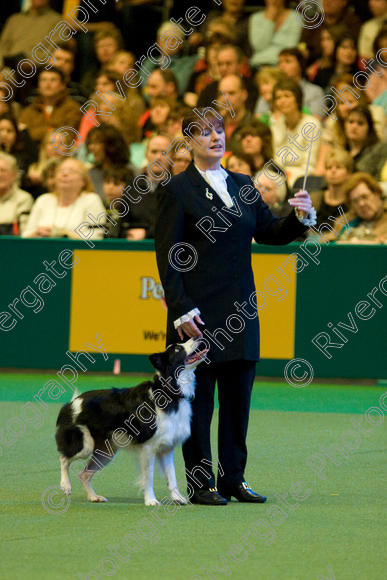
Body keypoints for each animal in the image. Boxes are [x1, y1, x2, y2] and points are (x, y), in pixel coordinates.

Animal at [55, 338, 208, 506]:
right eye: (177, 349)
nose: (198, 337)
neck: (170, 392)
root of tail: (71, 404)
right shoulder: (148, 447)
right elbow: (149, 477)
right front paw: (151, 500)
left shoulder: (166, 447)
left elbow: (171, 475)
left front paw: (177, 498)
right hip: (85, 445)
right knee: (64, 458)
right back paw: (65, 485)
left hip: (106, 451)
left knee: (84, 474)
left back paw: (93, 497)